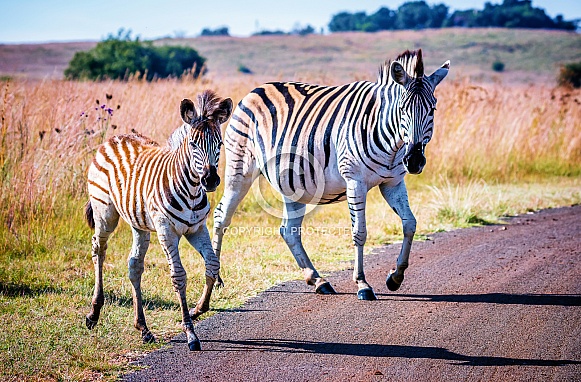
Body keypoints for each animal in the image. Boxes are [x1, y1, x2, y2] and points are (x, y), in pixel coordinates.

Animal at [84, 90, 233, 352]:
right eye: (193, 144)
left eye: (220, 144)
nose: (211, 180)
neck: (191, 190)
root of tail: (114, 138)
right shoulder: (166, 230)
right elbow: (179, 276)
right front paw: (190, 333)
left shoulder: (197, 229)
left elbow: (213, 266)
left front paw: (198, 309)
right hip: (105, 212)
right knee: (98, 250)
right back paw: (94, 313)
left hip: (139, 224)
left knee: (134, 265)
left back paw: (143, 328)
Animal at [213, 50, 448, 302]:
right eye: (402, 109)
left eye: (433, 110)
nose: (414, 161)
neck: (391, 142)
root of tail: (256, 89)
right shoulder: (355, 180)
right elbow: (359, 232)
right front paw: (362, 284)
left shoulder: (393, 183)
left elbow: (410, 224)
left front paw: (396, 277)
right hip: (240, 168)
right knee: (221, 216)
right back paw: (215, 279)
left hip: (291, 183)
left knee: (289, 231)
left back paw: (318, 280)